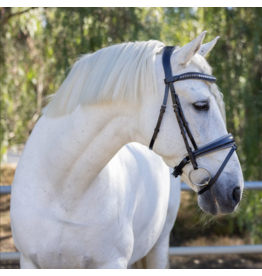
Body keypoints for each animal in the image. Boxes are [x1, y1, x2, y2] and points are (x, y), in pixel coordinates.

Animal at [10, 31, 244, 268]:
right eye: (201, 105)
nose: (236, 190)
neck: (64, 190)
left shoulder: (113, 261)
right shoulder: (29, 260)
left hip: (160, 243)